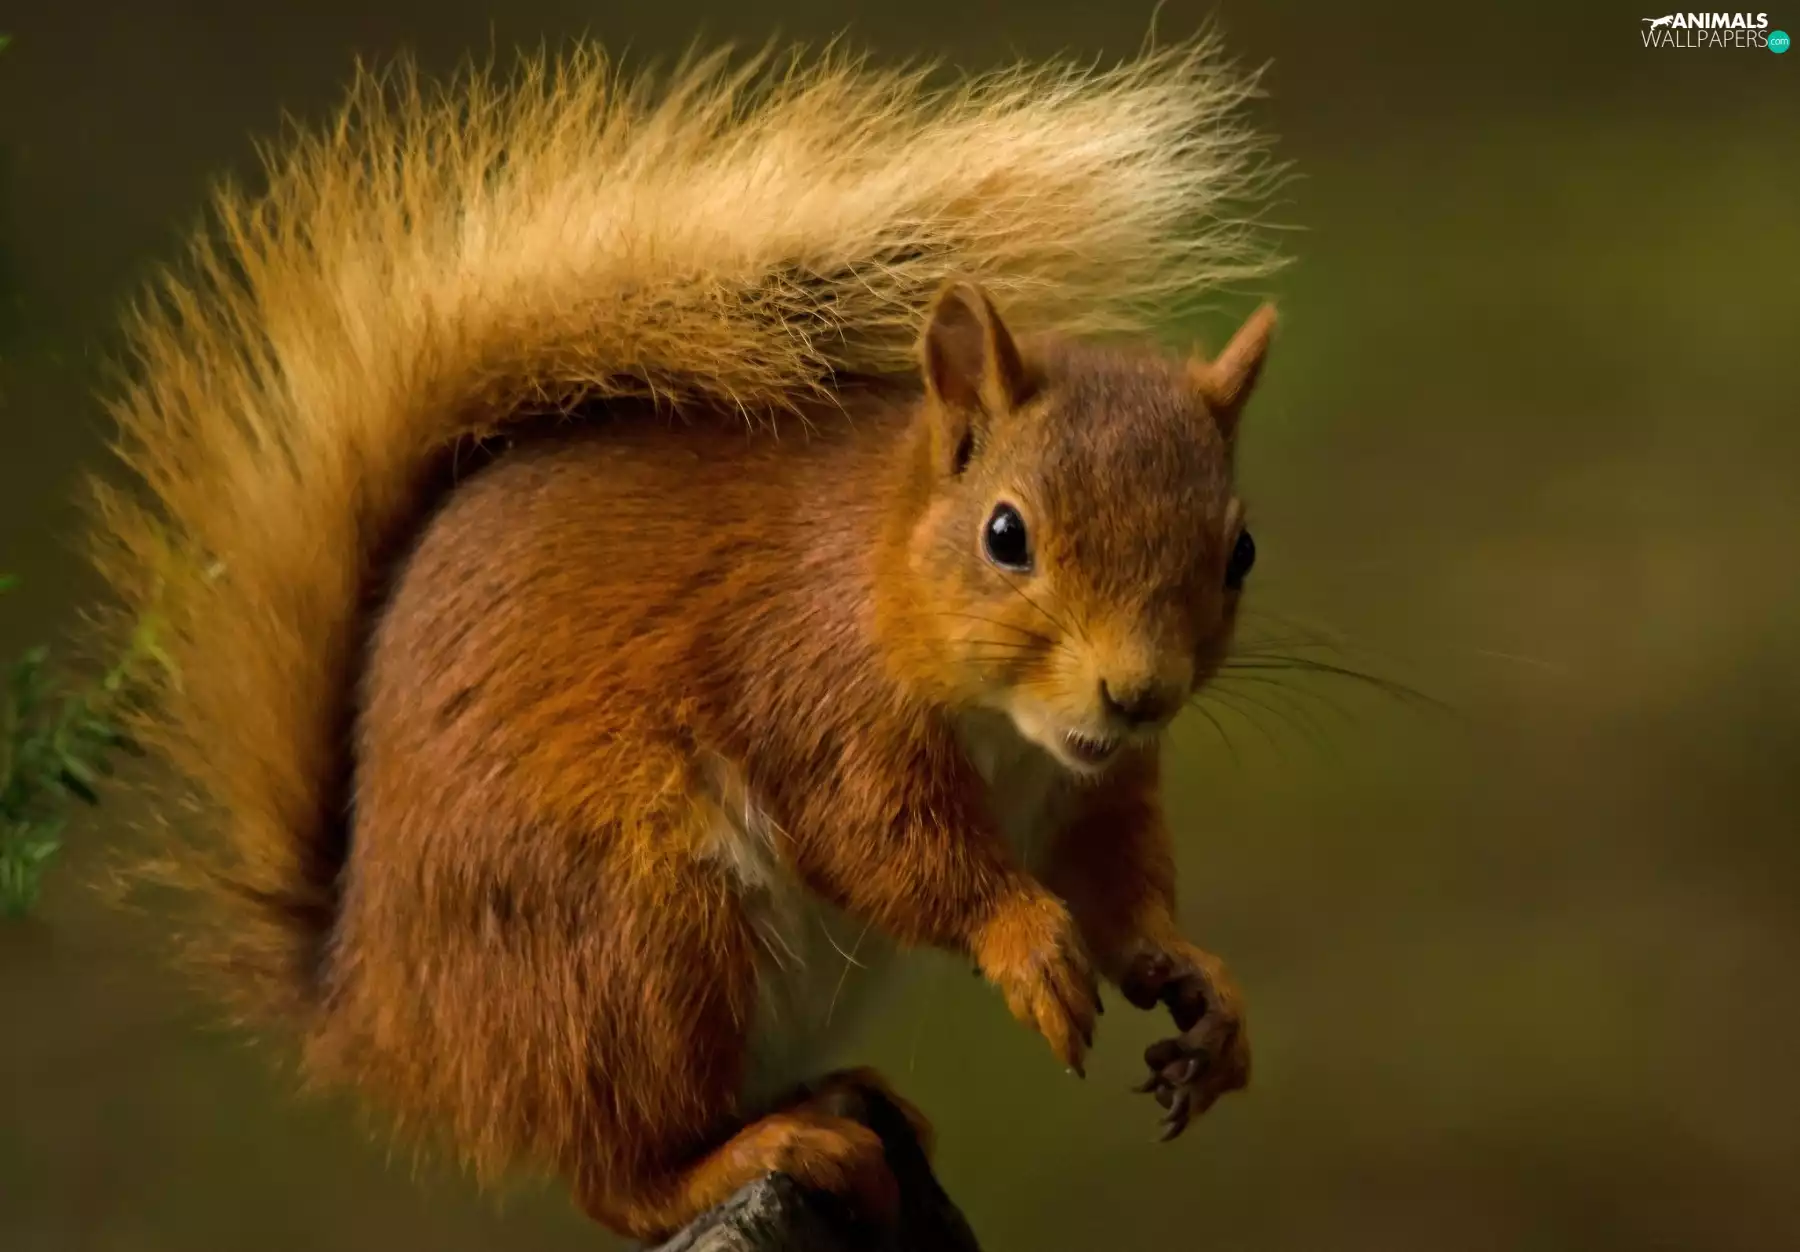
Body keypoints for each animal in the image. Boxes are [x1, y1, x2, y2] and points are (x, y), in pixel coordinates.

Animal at [87, 36, 1282, 1243]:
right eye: (1006, 534)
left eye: (1241, 549)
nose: (1138, 693)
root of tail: (382, 1008)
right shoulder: (813, 691)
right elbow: (888, 846)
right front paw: (1027, 943)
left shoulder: (1093, 788)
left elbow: (1120, 885)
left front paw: (1200, 988)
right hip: (638, 933)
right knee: (617, 1174)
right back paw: (769, 1148)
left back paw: (840, 1099)